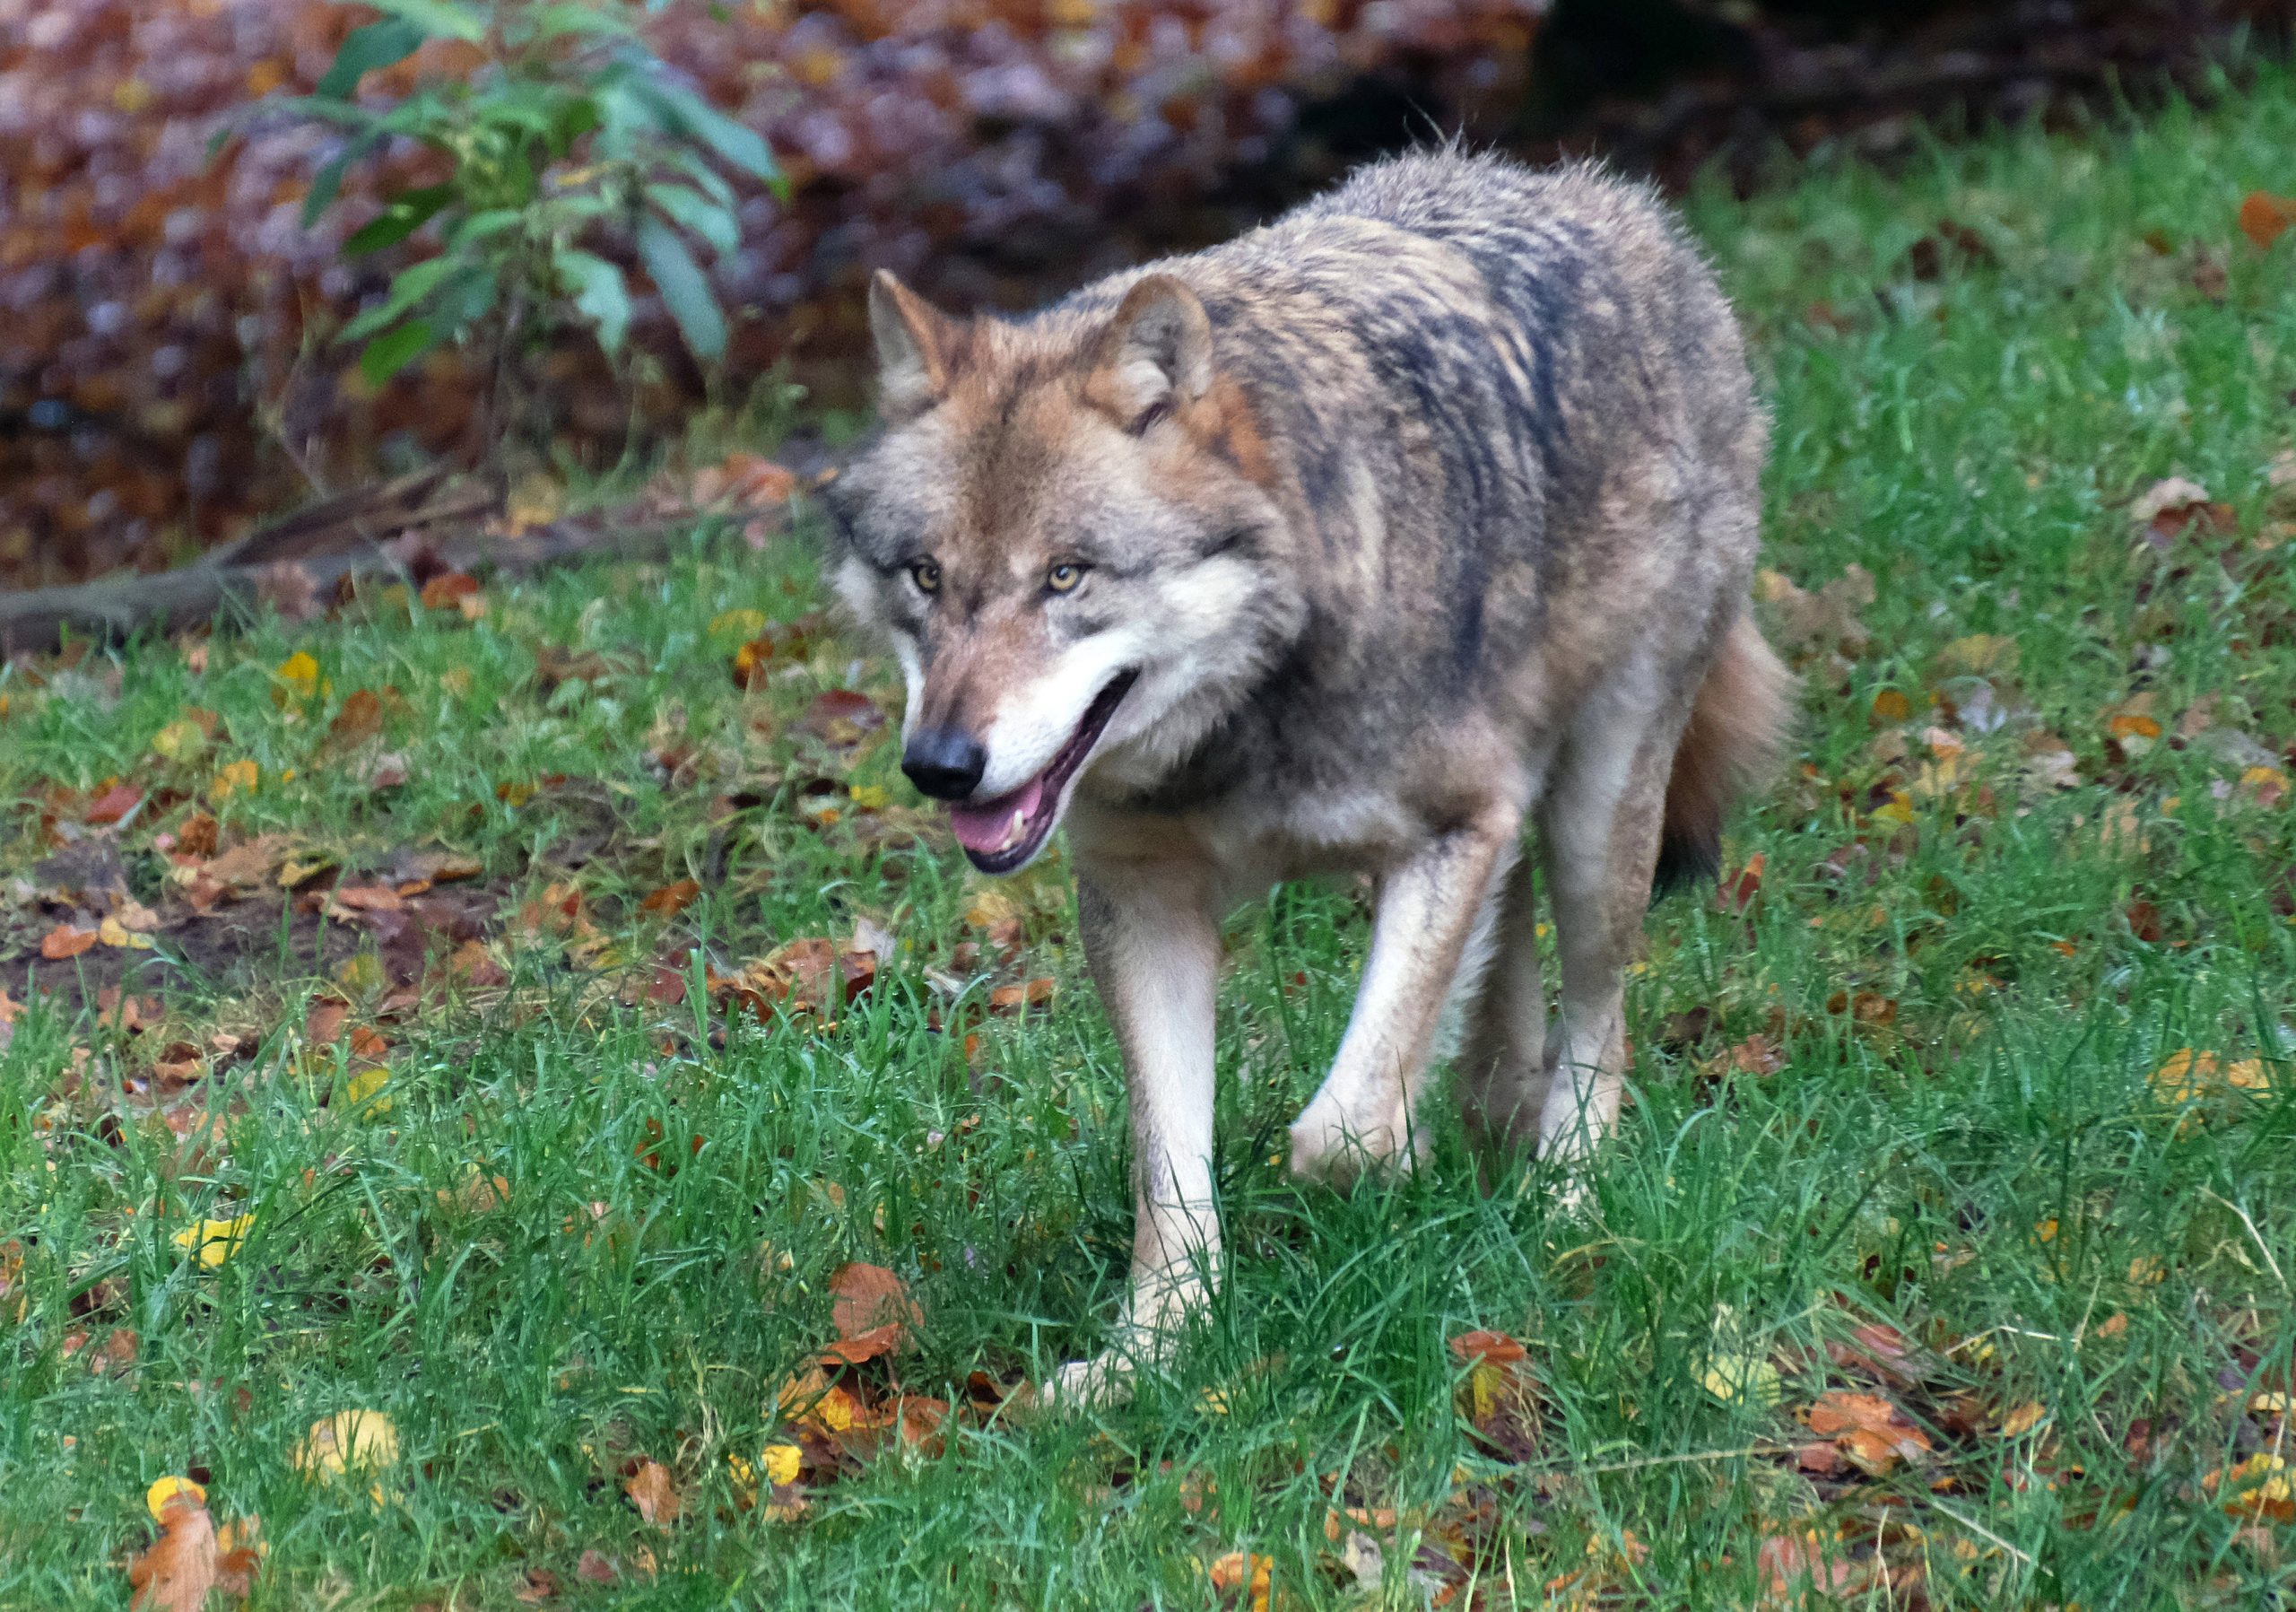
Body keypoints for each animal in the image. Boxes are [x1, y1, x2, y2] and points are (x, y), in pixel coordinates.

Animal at [823, 148, 1791, 1404]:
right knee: (1509, 943)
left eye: (1066, 577)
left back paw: (1564, 1193)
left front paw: (1395, 1160)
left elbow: (1339, 1133)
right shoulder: (1141, 900)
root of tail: (1628, 212)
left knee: (1598, 1018)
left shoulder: (1451, 829)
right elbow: (1169, 1172)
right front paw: (1152, 1353)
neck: (1245, 720)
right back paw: (1492, 1117)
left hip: (1596, 821)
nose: (940, 766)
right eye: (927, 578)